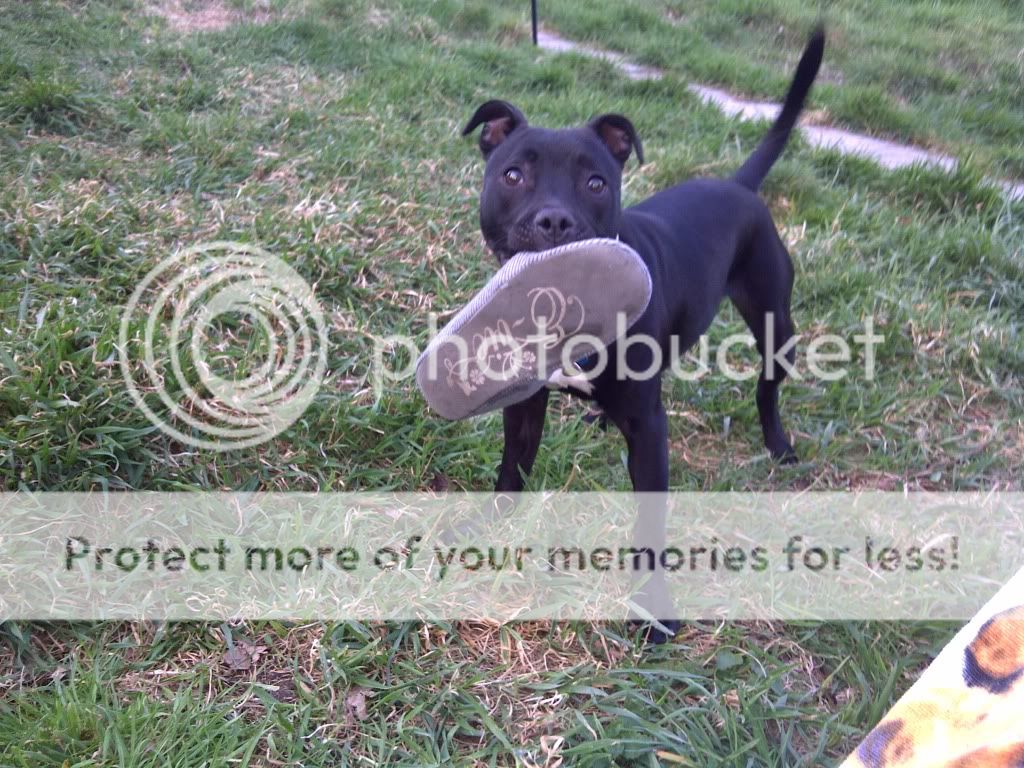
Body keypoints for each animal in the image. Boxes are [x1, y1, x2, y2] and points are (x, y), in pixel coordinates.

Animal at [462, 27, 823, 638]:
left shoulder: (651, 433)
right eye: (513, 175)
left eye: (596, 182)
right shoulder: (525, 406)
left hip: (775, 321)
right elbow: (510, 471)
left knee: (767, 386)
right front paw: (481, 532)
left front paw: (653, 609)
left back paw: (777, 443)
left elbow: (650, 528)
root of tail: (738, 186)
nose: (554, 220)